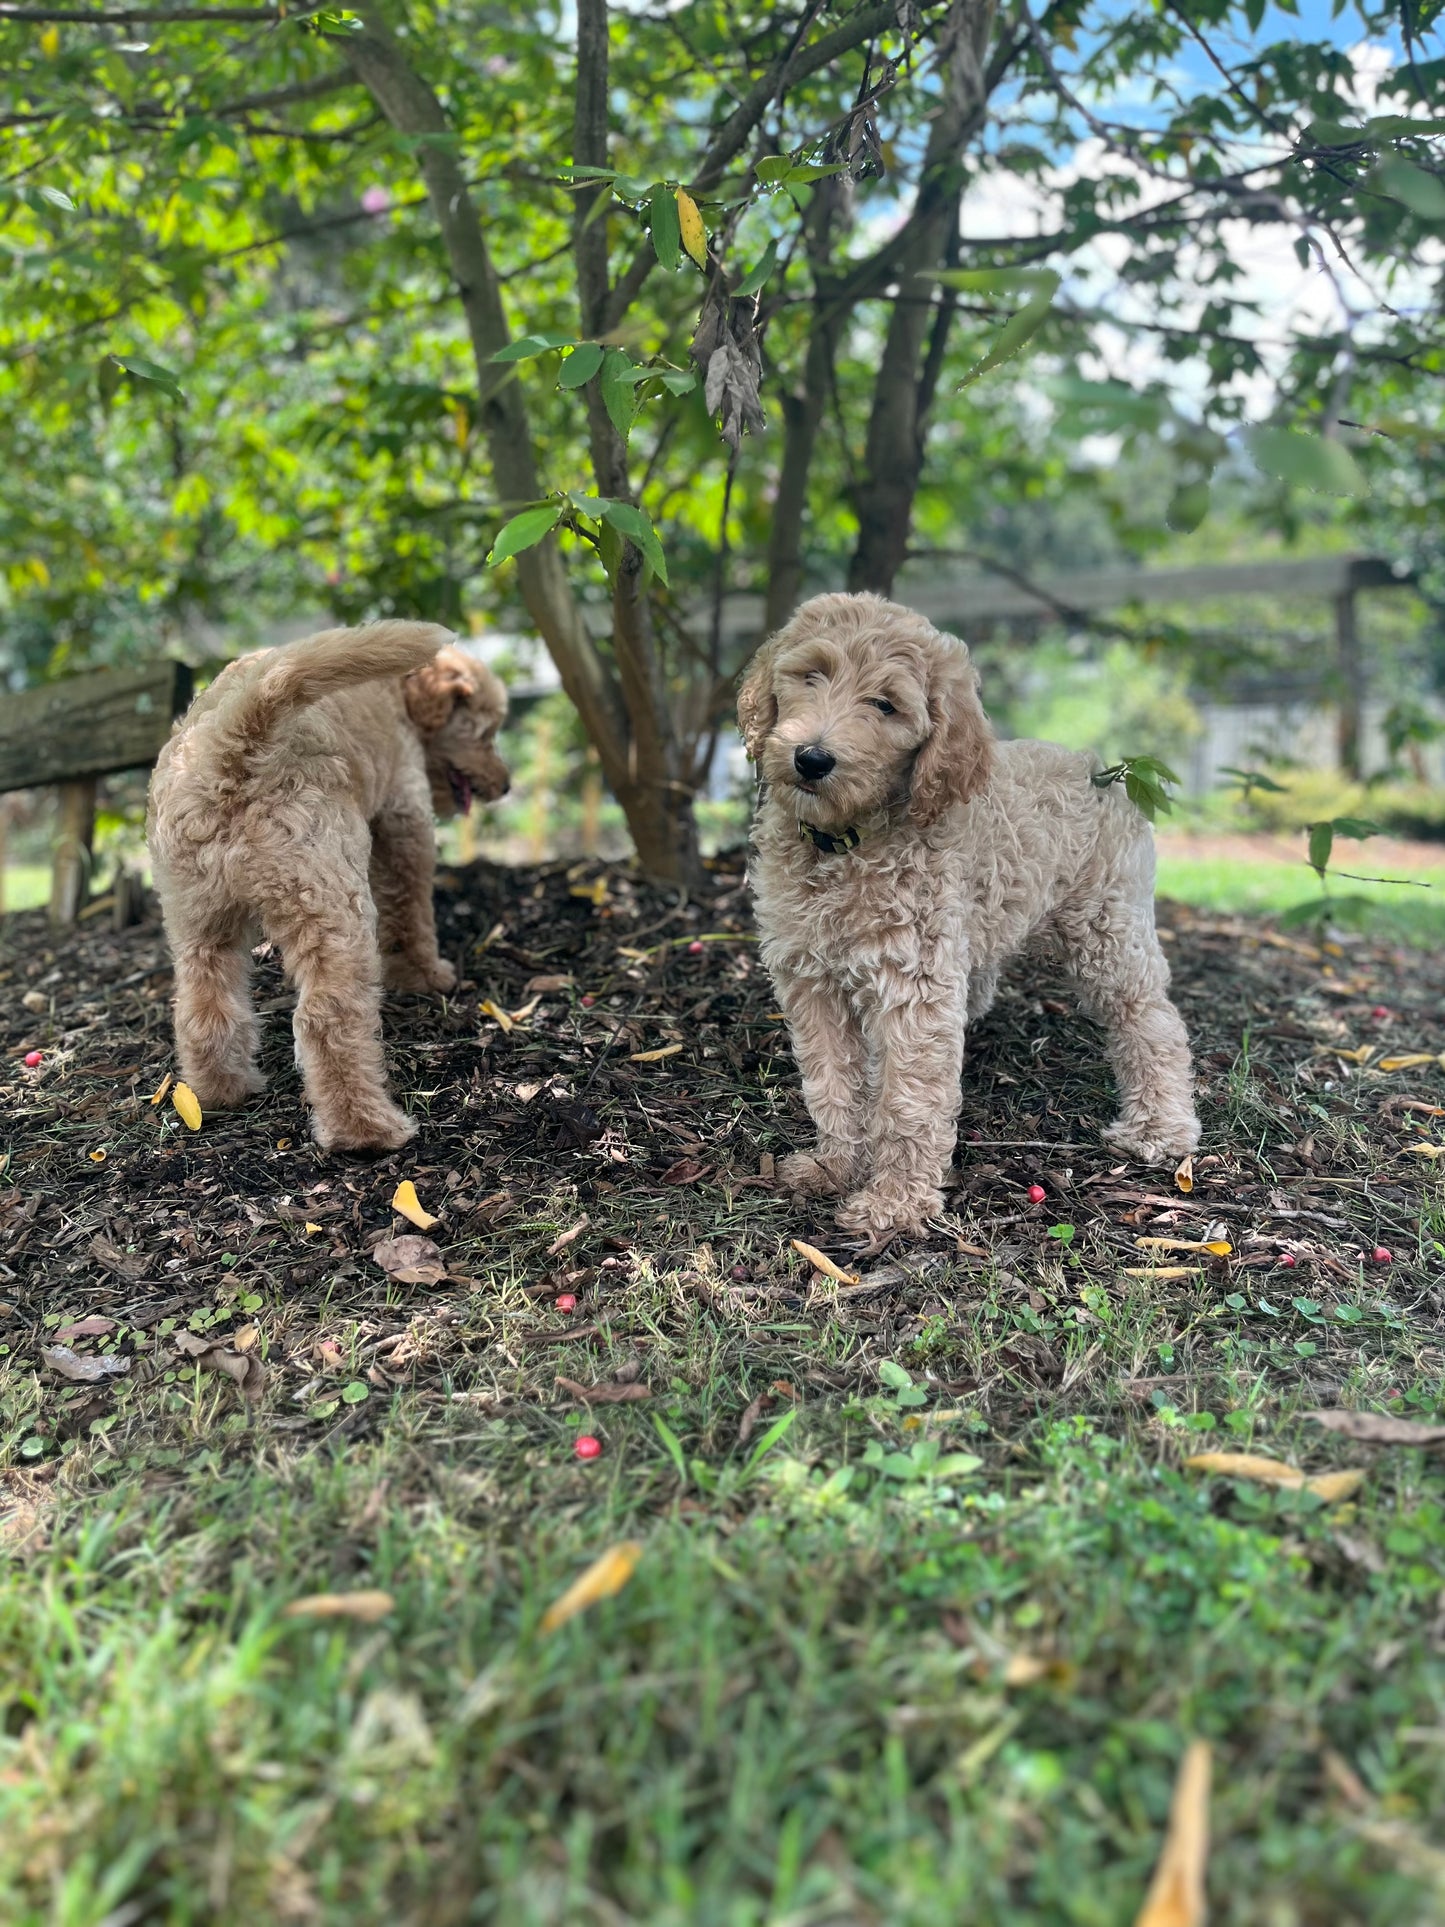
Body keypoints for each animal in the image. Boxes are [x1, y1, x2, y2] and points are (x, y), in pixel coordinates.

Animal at [739, 593, 1202, 1240]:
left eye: (885, 704)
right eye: (812, 675)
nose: (811, 759)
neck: (846, 843)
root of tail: (1102, 771)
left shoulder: (913, 981)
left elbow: (909, 1098)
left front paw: (895, 1203)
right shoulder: (810, 977)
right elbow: (830, 1080)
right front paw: (835, 1166)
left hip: (1106, 925)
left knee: (1151, 1021)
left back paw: (1159, 1126)